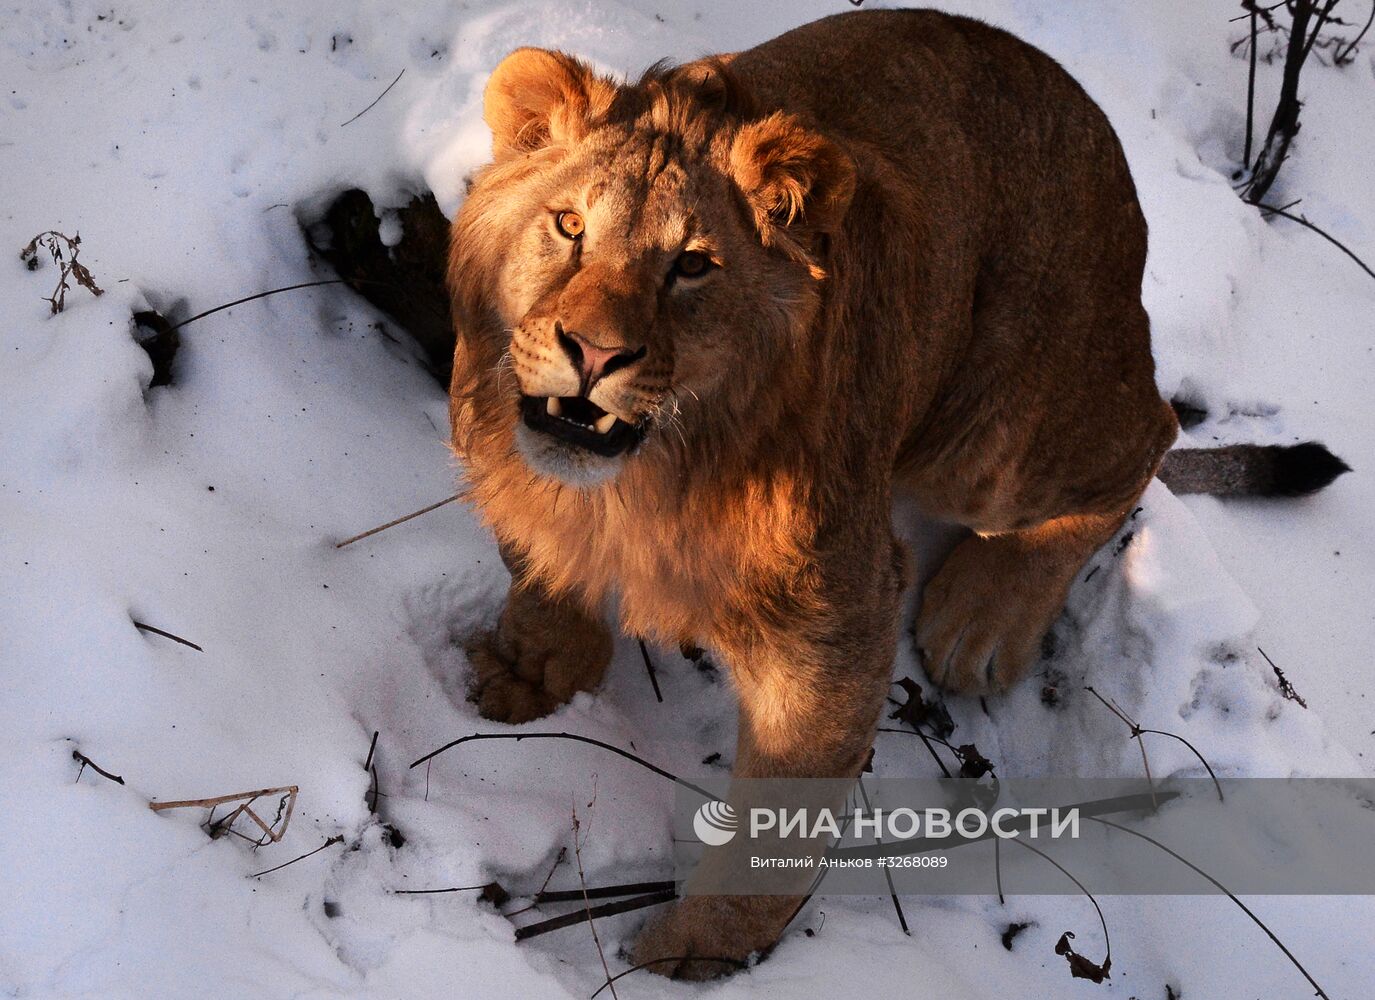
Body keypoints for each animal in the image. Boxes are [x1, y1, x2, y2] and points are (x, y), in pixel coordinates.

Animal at [445, 7, 1347, 979]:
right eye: (568, 224)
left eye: (691, 265)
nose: (594, 351)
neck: (642, 482)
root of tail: (1121, 188)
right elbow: (537, 563)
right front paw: (531, 668)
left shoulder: (834, 614)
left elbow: (779, 819)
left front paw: (693, 954)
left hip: (992, 434)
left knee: (1149, 436)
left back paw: (979, 621)